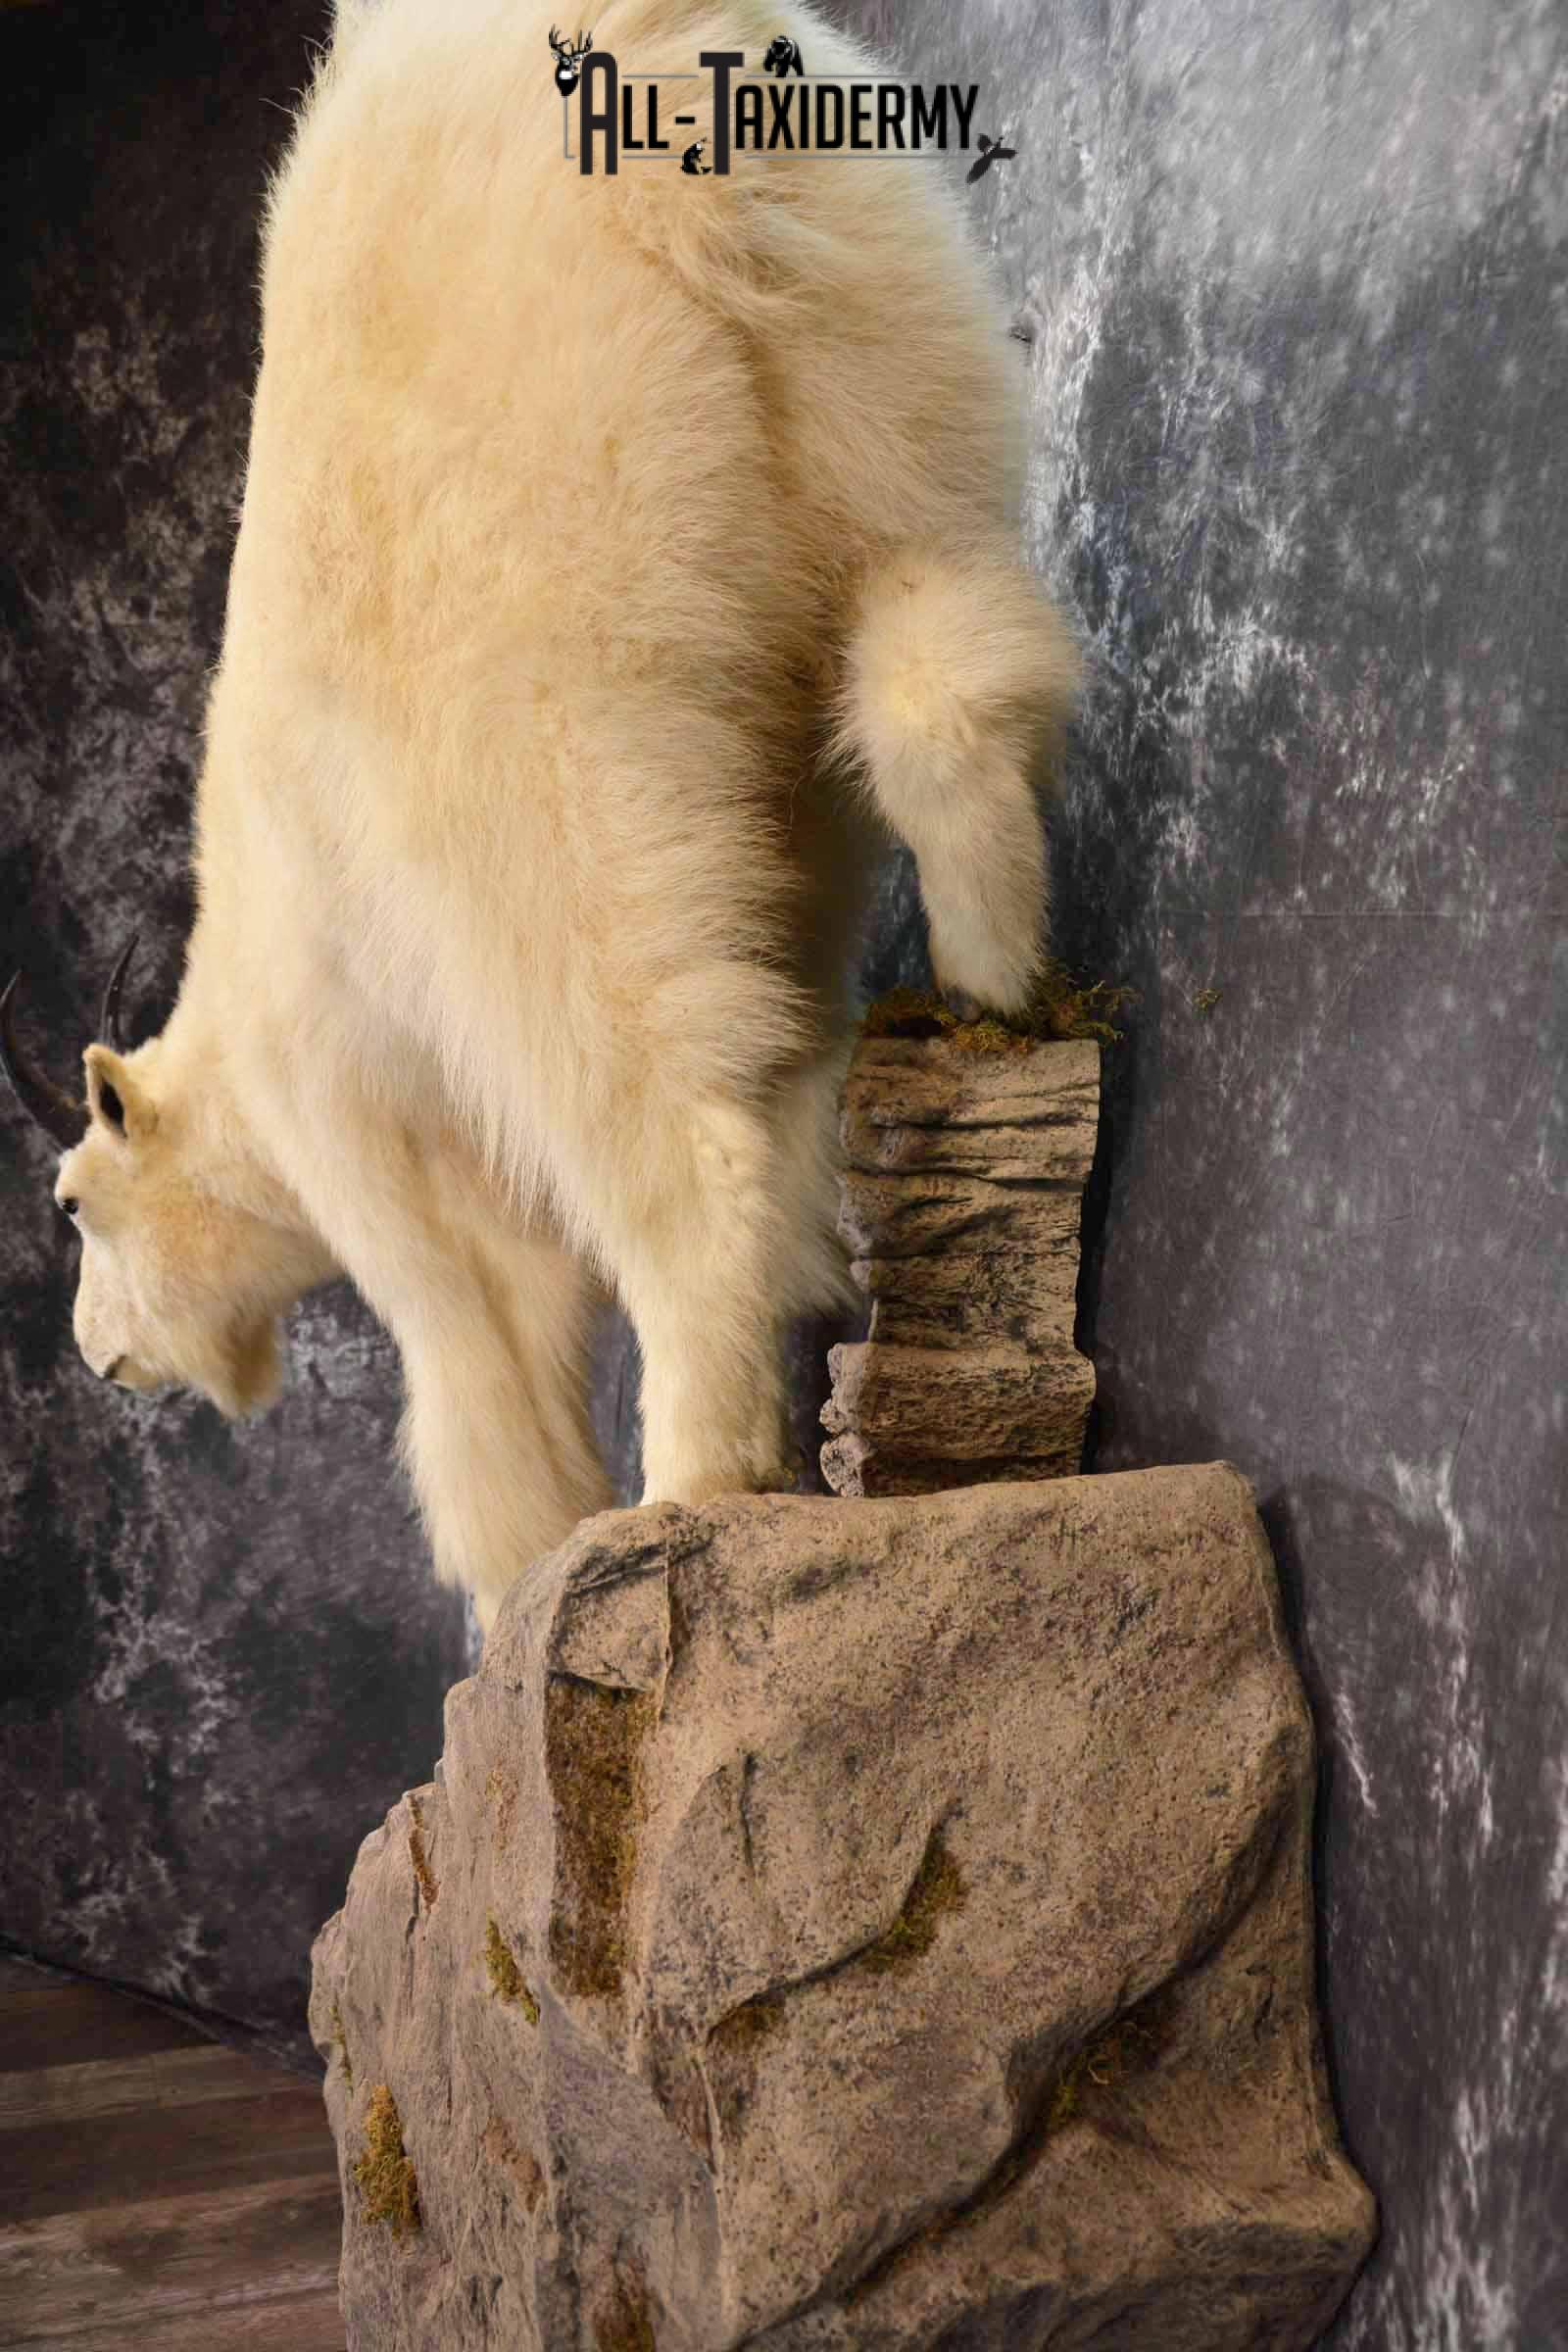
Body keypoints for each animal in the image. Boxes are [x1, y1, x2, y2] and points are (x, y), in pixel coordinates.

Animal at [5, 0, 1080, 1632]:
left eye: (71, 1203)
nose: (95, 1353)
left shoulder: (342, 1080)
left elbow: (472, 1310)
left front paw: (512, 1568)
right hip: (868, 333)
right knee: (928, 623)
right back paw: (994, 983)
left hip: (532, 605)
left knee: (607, 1017)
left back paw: (695, 1469)